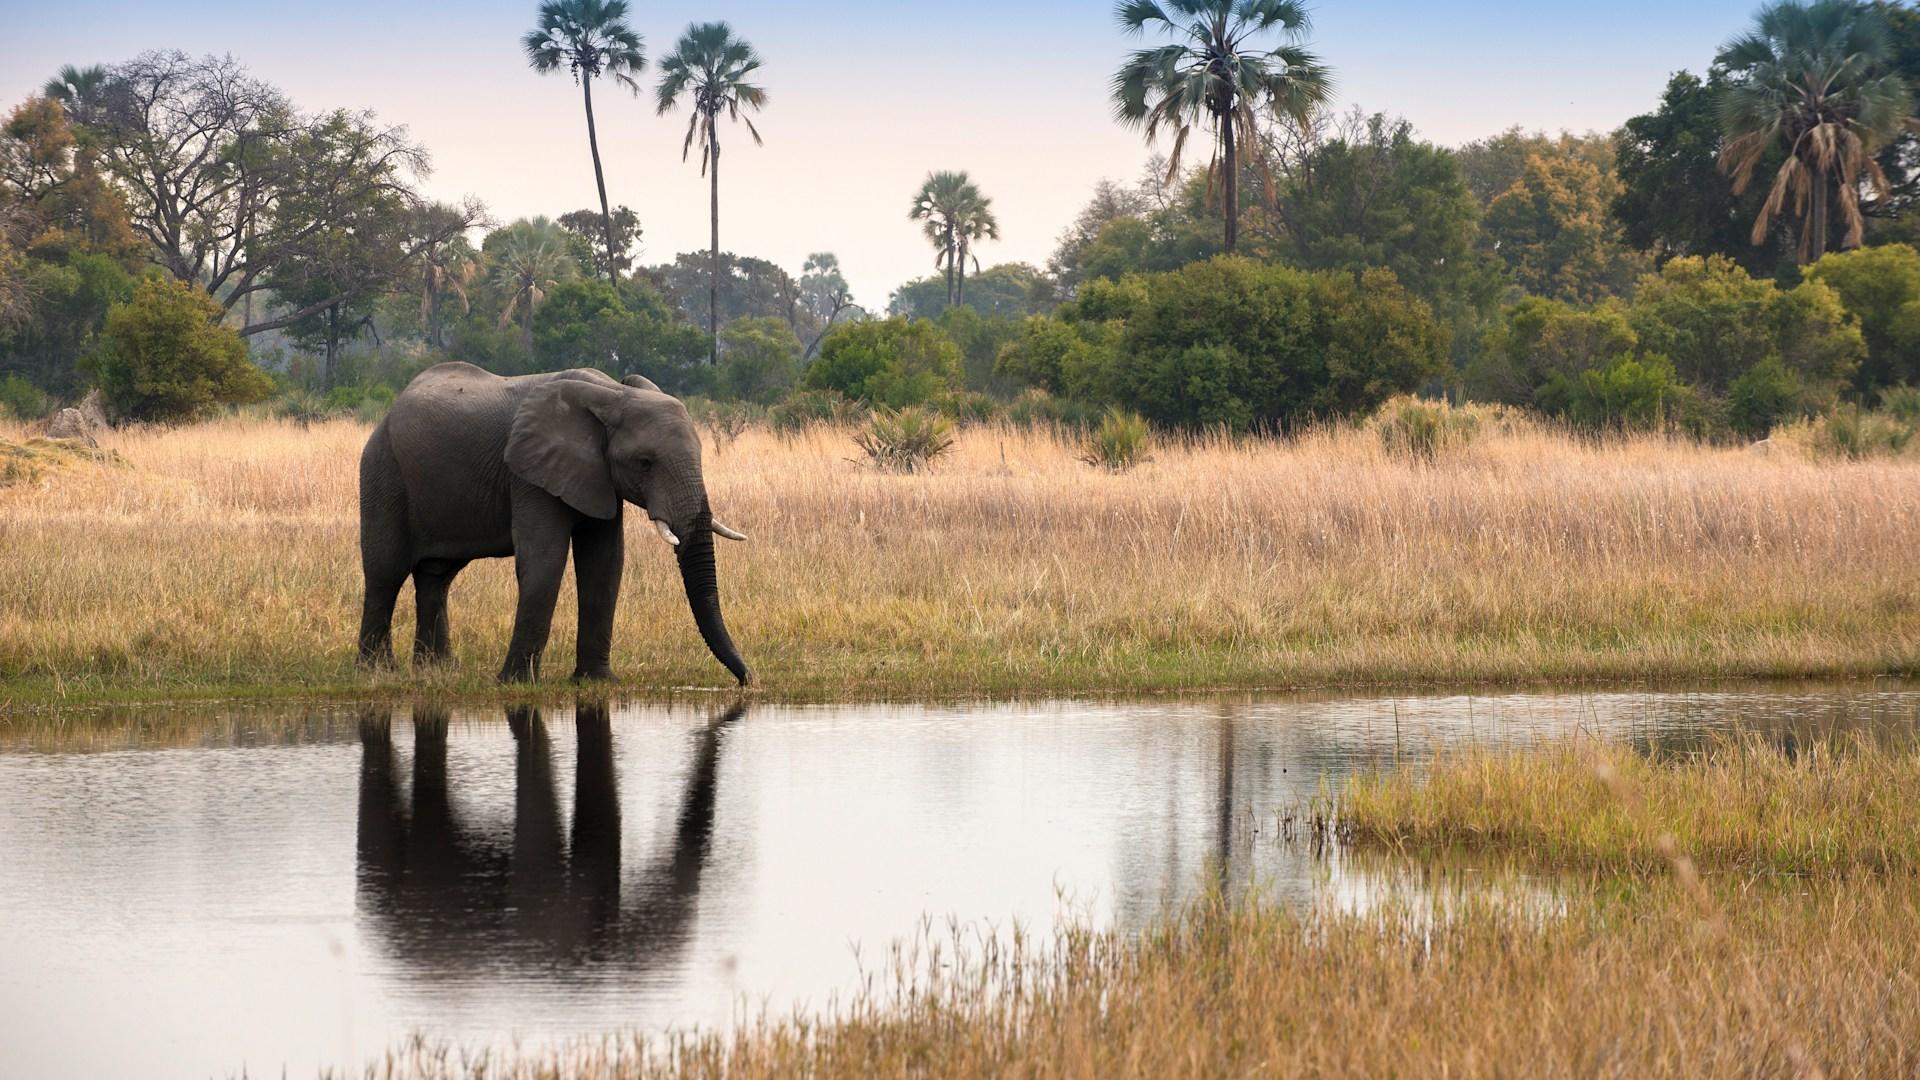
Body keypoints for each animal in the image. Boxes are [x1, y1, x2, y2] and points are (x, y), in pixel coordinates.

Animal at [357, 362, 750, 685]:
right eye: (644, 462)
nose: (746, 680)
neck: (612, 394)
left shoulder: (598, 476)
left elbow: (605, 564)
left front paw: (597, 681)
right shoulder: (529, 476)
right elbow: (544, 560)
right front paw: (515, 683)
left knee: (437, 576)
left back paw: (435, 670)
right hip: (383, 470)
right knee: (385, 572)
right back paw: (378, 672)